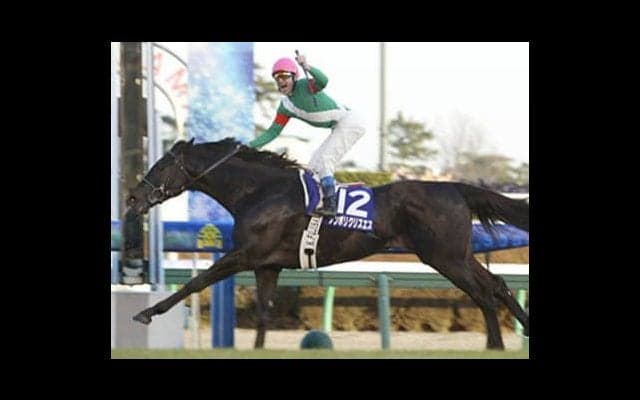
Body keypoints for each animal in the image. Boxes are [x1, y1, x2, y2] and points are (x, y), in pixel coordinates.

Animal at [126, 137, 529, 350]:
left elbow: (196, 282)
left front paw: (147, 313)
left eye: (160, 166)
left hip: (445, 257)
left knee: (483, 292)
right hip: (458, 254)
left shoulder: (244, 255)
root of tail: (455, 187)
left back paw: (495, 345)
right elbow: (263, 313)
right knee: (497, 284)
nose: (132, 198)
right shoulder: (268, 265)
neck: (259, 191)